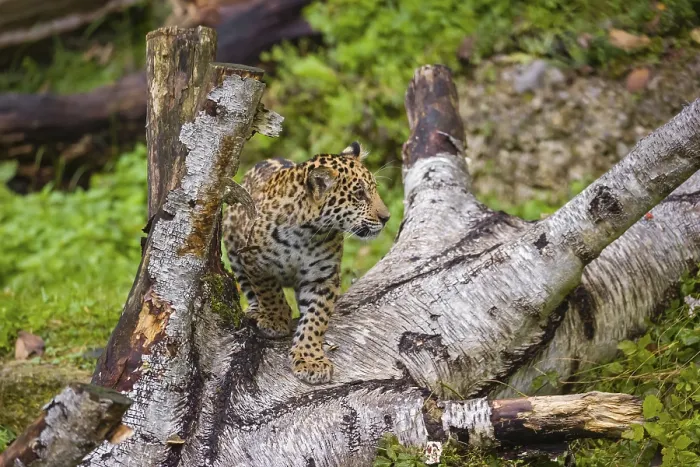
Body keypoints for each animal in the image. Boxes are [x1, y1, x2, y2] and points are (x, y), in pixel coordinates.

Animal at [222, 142, 390, 384]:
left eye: (374, 189)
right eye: (359, 194)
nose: (386, 218)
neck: (307, 233)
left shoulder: (323, 277)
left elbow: (315, 319)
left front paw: (311, 360)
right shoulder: (254, 261)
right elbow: (269, 293)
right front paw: (275, 320)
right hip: (231, 243)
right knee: (248, 287)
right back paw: (256, 311)